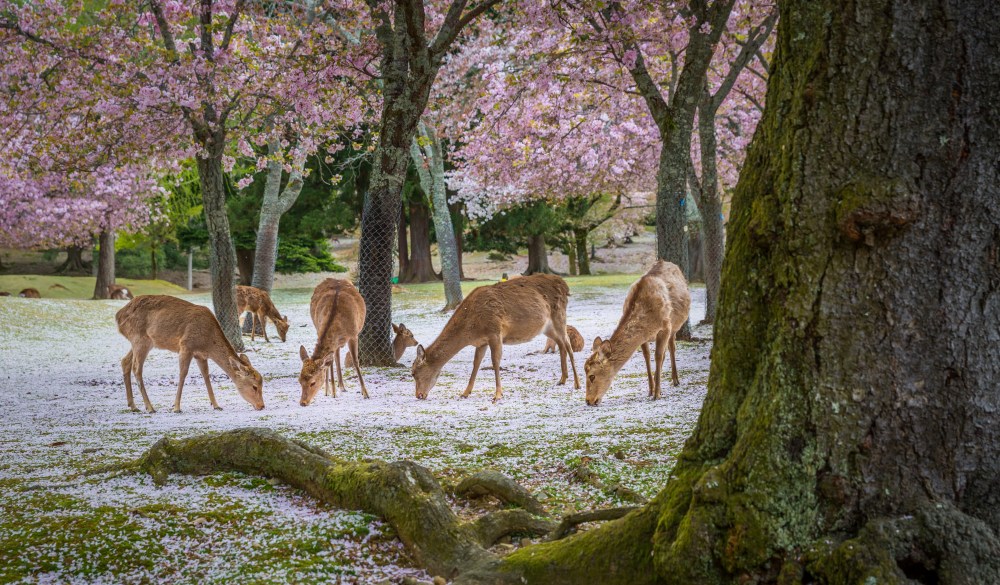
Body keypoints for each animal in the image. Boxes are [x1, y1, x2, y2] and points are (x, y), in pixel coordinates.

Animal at [114, 294, 264, 412]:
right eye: (254, 387)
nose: (261, 406)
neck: (208, 342)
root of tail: (118, 316)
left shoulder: (201, 355)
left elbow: (206, 375)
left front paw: (216, 405)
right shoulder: (186, 346)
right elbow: (183, 374)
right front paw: (176, 407)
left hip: (142, 342)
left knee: (125, 362)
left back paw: (133, 406)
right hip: (140, 339)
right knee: (136, 368)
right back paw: (150, 407)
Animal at [302, 278, 374, 406]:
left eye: (312, 382)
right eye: (299, 381)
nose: (303, 402)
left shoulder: (354, 335)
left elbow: (356, 361)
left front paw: (365, 393)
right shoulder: (320, 331)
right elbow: (329, 362)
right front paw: (332, 392)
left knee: (336, 356)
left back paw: (341, 386)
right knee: (335, 357)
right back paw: (333, 389)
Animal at [410, 272, 580, 402]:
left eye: (414, 373)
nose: (419, 395)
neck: (470, 329)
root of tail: (564, 285)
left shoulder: (495, 332)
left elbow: (495, 362)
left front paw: (497, 395)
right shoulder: (481, 342)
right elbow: (476, 364)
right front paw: (465, 393)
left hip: (559, 317)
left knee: (568, 345)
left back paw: (577, 384)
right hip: (546, 327)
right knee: (561, 344)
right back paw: (562, 379)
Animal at [584, 262, 692, 406]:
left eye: (592, 376)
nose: (588, 401)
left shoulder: (665, 327)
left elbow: (658, 356)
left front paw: (657, 394)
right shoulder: (644, 337)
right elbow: (647, 357)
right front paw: (651, 390)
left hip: (674, 326)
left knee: (671, 347)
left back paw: (675, 380)